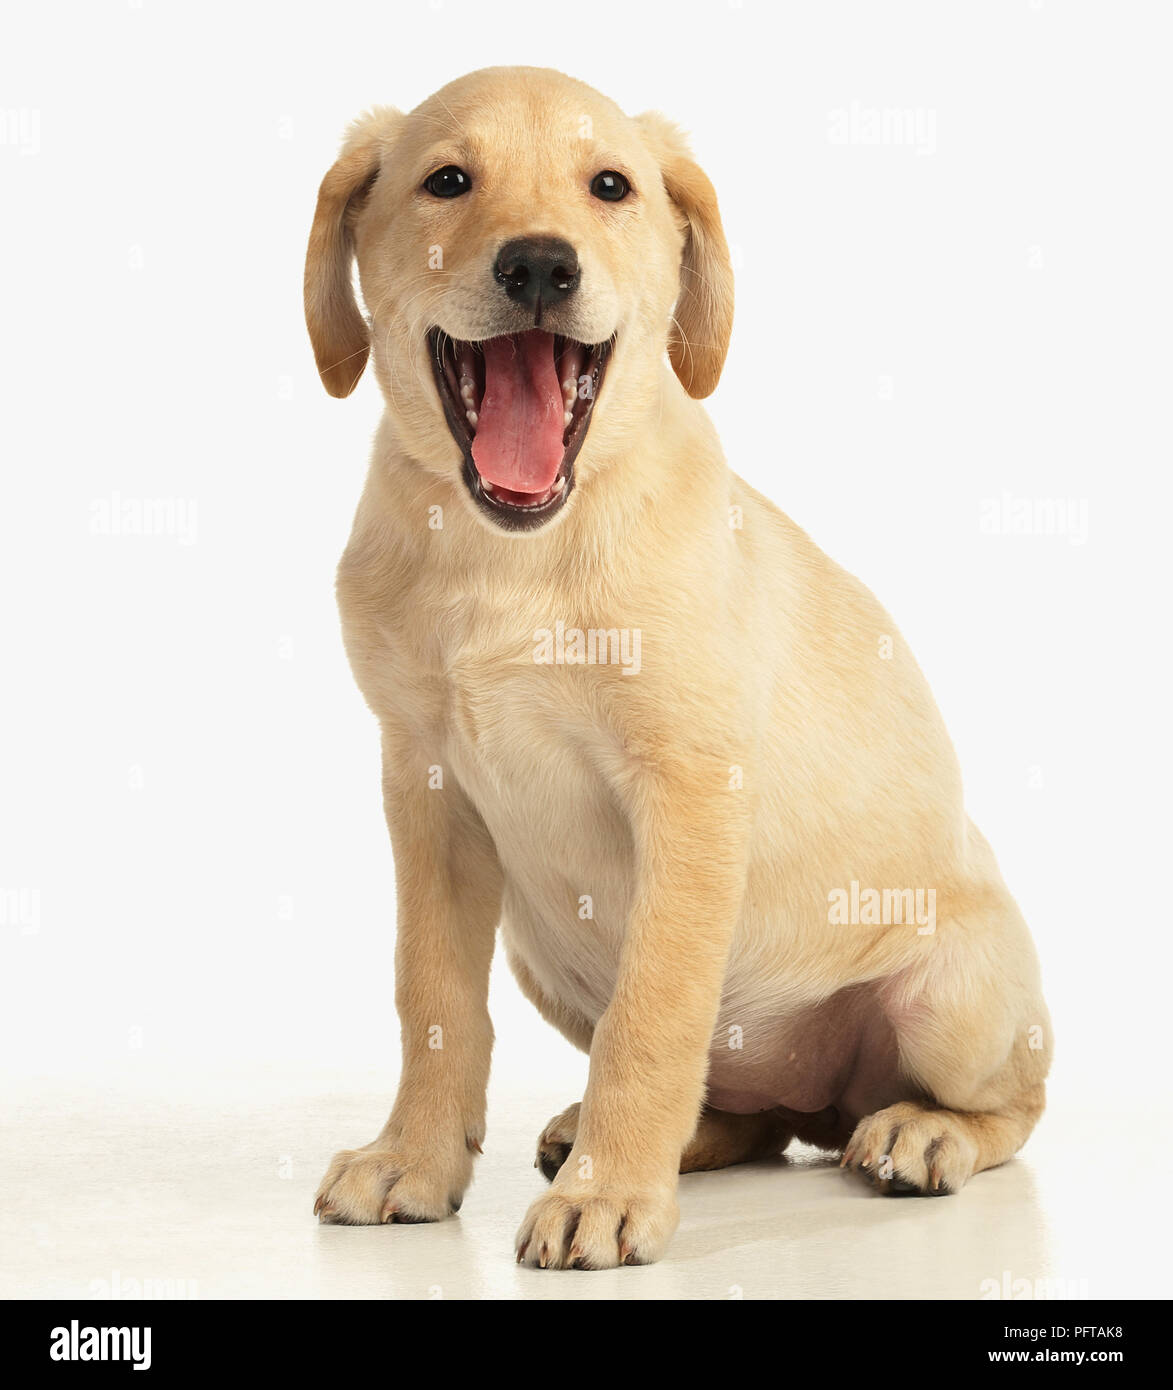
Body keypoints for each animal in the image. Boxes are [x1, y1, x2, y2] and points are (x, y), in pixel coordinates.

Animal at [307, 67, 1050, 1273]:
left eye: (610, 186)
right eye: (447, 181)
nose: (540, 265)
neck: (511, 557)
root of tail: (826, 1101)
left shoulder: (689, 789)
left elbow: (652, 1016)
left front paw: (610, 1196)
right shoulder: (425, 789)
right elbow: (433, 998)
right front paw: (414, 1160)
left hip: (956, 1002)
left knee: (1013, 1106)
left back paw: (920, 1132)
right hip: (541, 946)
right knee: (745, 1107)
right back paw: (646, 1135)